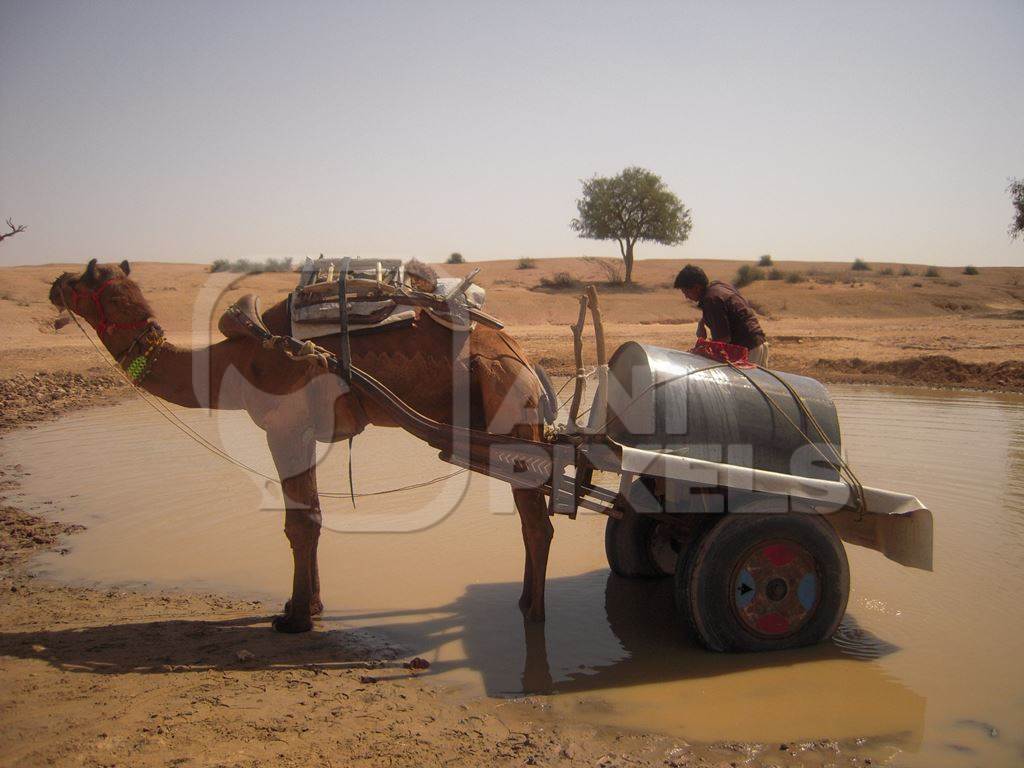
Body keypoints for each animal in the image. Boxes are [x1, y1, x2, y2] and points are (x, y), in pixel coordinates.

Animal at [49, 262, 552, 634]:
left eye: (91, 281)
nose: (57, 284)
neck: (233, 361)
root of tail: (524, 360)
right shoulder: (303, 431)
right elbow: (310, 516)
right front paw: (309, 606)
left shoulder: (285, 426)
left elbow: (300, 523)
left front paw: (294, 617)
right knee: (529, 516)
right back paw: (522, 600)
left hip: (509, 402)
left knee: (537, 523)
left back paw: (534, 611)